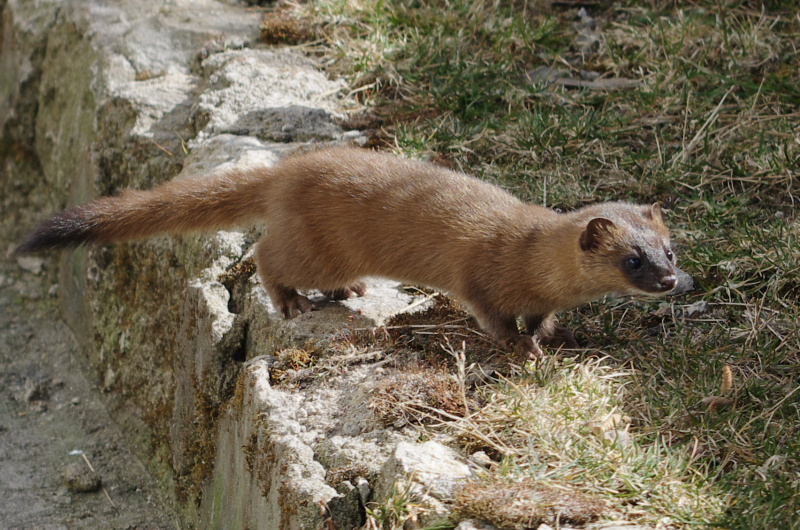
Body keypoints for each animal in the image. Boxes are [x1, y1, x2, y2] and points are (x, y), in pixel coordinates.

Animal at [15, 146, 684, 356]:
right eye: (632, 259)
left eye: (670, 251)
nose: (671, 283)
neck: (527, 256)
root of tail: (286, 170)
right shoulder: (477, 275)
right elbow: (490, 316)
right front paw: (520, 347)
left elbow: (542, 316)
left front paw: (549, 334)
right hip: (313, 245)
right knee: (266, 255)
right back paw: (292, 302)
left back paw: (349, 290)